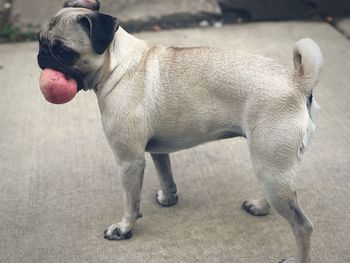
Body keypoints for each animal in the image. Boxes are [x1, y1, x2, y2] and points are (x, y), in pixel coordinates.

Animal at [37, 1, 322, 262]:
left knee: (303, 226)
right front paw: (168, 199)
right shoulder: (156, 151)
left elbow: (131, 201)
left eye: (63, 51)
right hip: (272, 167)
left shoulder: (129, 161)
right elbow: (166, 176)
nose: (41, 54)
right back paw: (260, 207)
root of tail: (297, 82)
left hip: (270, 165)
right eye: (40, 40)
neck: (118, 66)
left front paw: (124, 228)